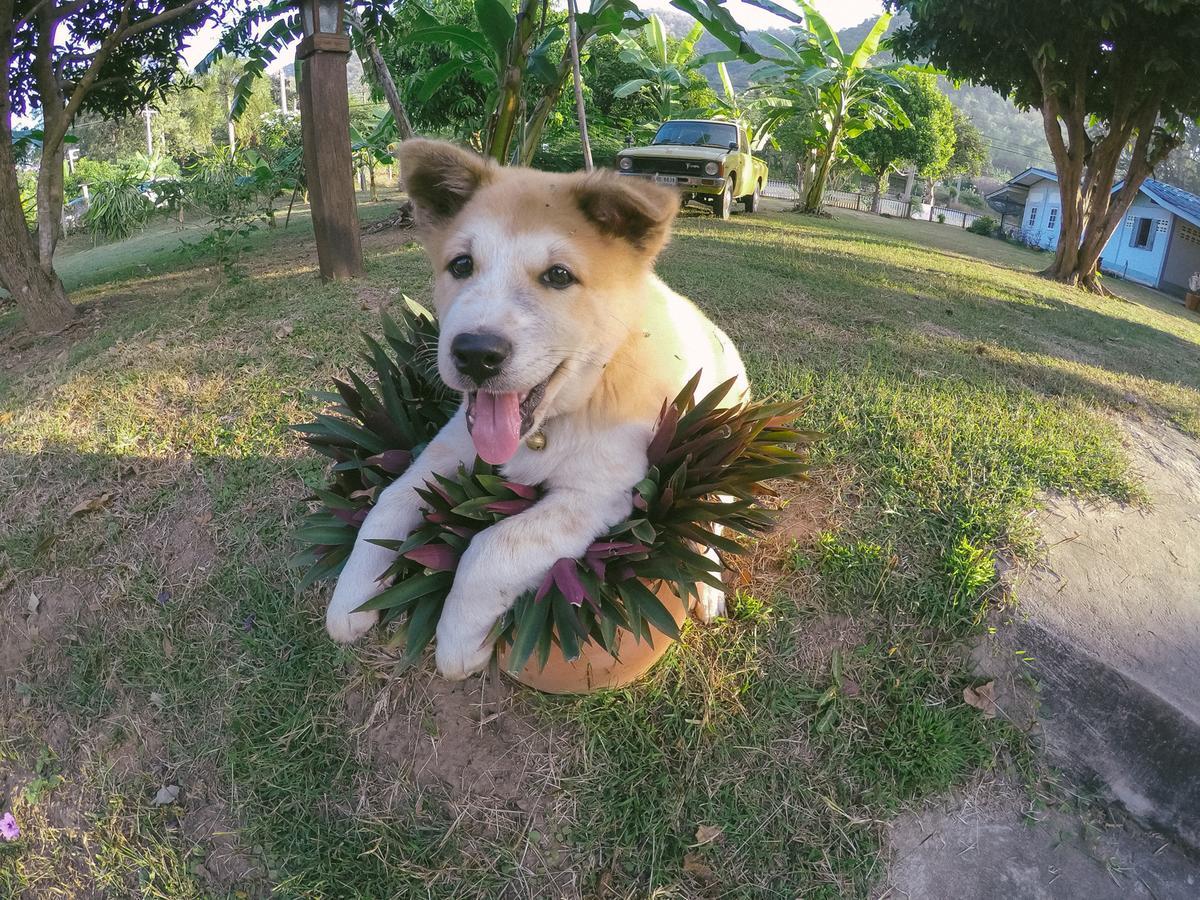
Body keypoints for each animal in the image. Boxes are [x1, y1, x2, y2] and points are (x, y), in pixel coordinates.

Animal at [324, 139, 744, 676]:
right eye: (461, 266)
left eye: (559, 276)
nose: (475, 354)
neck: (551, 425)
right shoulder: (451, 449)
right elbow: (387, 502)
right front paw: (352, 599)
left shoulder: (601, 496)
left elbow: (491, 547)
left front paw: (459, 642)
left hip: (710, 445)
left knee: (712, 518)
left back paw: (709, 593)